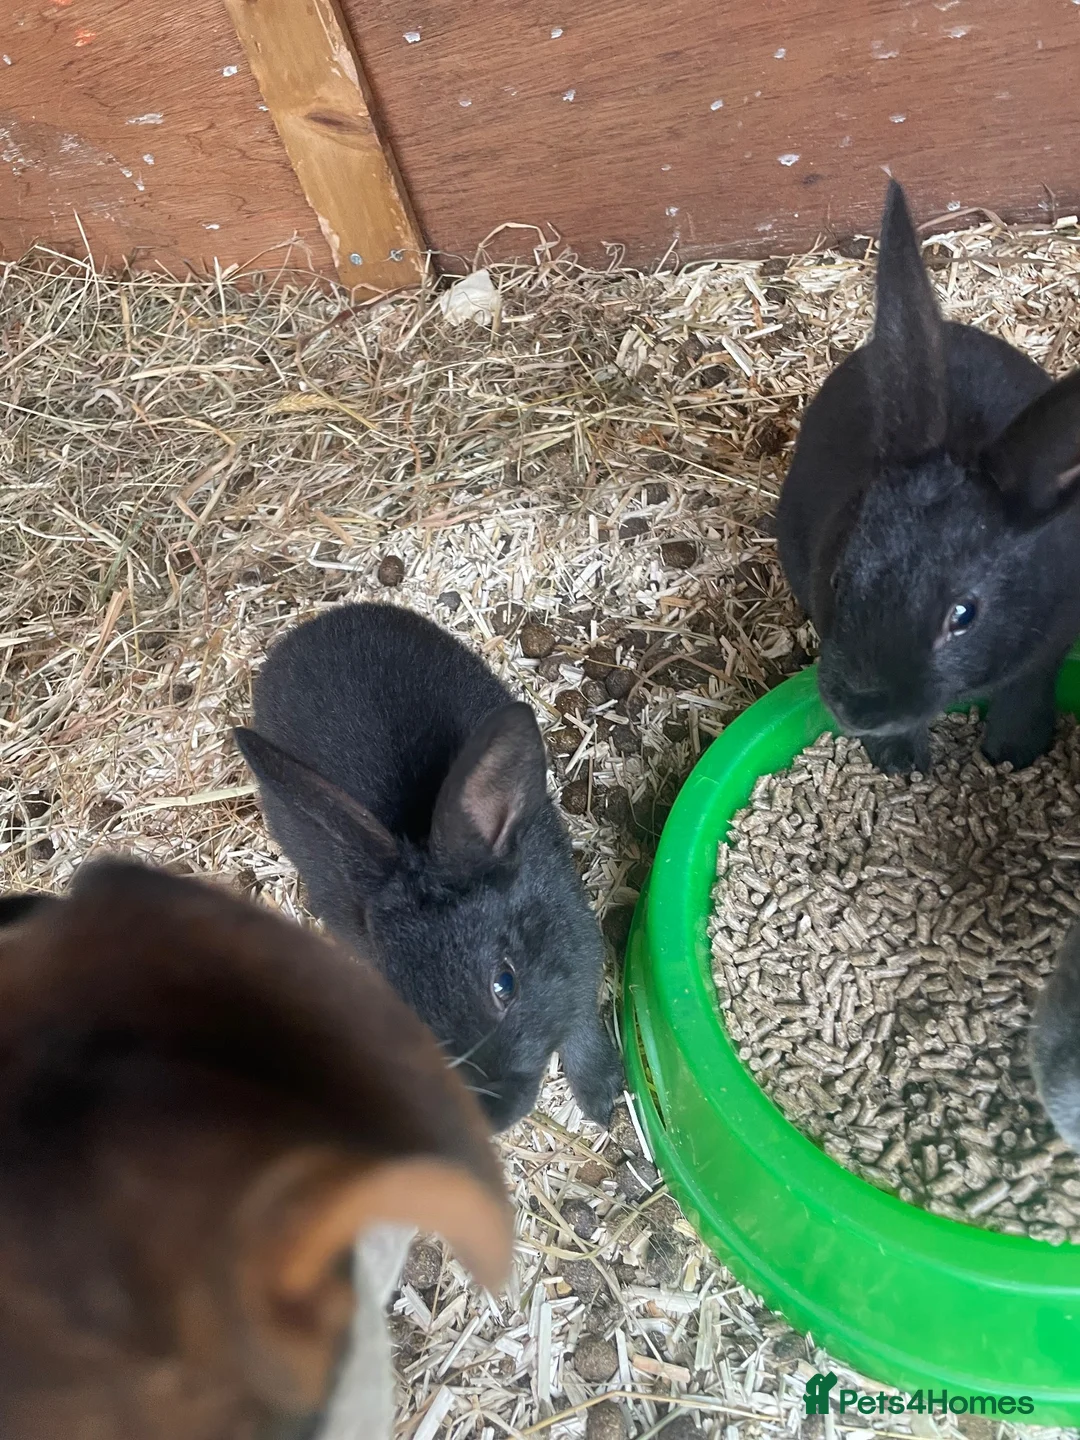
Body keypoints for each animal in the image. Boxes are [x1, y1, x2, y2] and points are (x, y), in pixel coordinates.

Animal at [233, 601, 624, 1132]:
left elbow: (581, 1028)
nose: (490, 1114)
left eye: (505, 983)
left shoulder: (581, 970)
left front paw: (603, 1098)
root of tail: (312, 626)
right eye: (401, 1004)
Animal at [777, 178, 1080, 775]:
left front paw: (1014, 752)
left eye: (963, 614)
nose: (856, 709)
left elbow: (1027, 686)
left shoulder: (1051, 645)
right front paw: (902, 764)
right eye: (839, 578)